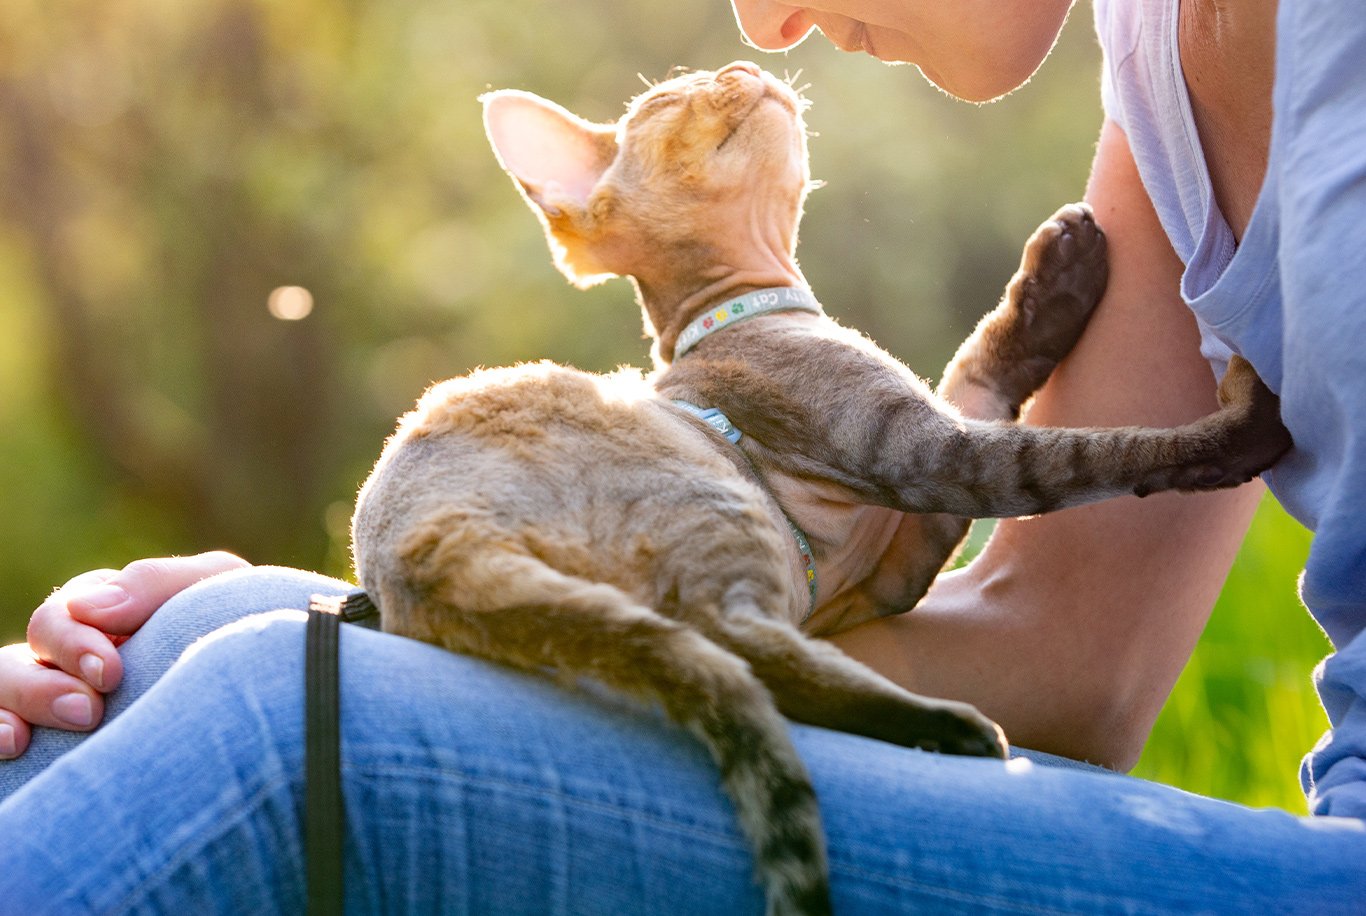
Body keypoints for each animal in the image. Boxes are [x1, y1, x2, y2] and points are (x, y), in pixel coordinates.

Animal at [350, 61, 1291, 916]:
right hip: (717, 504)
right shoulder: (928, 453)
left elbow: (979, 365)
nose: (743, 64)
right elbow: (1082, 458)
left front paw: (1055, 284)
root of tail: (418, 547)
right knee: (741, 650)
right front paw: (1239, 427)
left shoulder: (899, 558)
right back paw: (949, 730)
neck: (758, 308)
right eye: (672, 95)